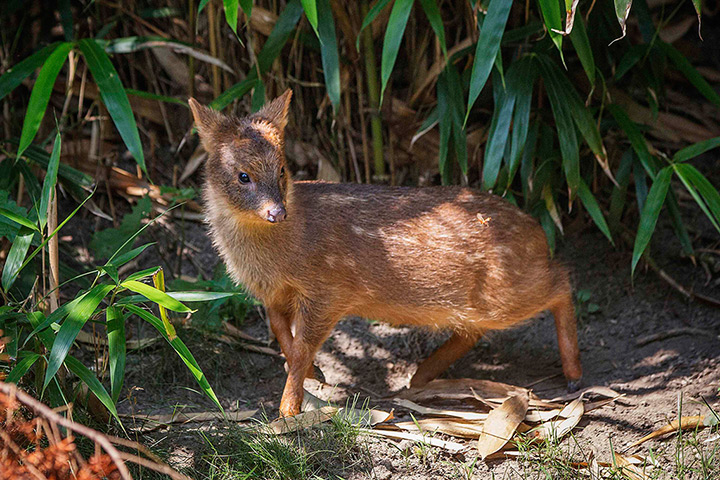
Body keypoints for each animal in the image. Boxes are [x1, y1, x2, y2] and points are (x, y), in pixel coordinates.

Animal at [188, 90, 582, 417]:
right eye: (243, 176)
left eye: (282, 169)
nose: (277, 212)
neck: (278, 254)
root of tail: (539, 236)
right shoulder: (273, 294)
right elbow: (283, 335)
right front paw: (315, 376)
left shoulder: (329, 289)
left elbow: (302, 346)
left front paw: (288, 410)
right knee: (474, 329)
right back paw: (420, 376)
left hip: (506, 291)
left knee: (562, 280)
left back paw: (574, 375)